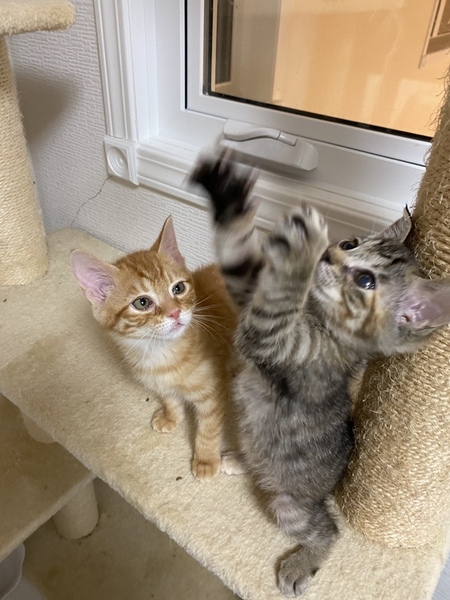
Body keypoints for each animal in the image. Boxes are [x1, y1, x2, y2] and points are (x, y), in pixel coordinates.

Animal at [70, 216, 238, 482]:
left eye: (178, 288)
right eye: (142, 303)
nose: (175, 312)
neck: (160, 355)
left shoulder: (213, 390)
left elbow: (209, 427)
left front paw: (206, 459)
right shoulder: (160, 383)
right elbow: (170, 398)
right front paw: (171, 417)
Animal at [191, 154, 450, 595]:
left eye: (364, 280)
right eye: (350, 244)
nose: (329, 255)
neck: (317, 315)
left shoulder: (276, 341)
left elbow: (277, 299)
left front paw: (301, 250)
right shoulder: (250, 292)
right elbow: (241, 259)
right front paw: (228, 193)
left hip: (290, 505)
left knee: (327, 532)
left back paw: (302, 563)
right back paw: (243, 460)